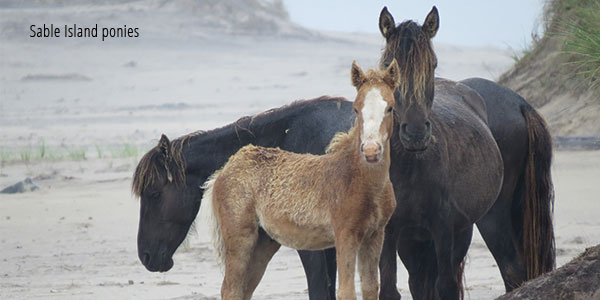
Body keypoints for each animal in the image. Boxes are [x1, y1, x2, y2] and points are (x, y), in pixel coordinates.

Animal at [204, 61, 400, 300]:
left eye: (390, 108)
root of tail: (222, 171)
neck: (361, 180)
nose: (371, 151)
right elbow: (346, 291)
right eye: (356, 108)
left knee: (244, 289)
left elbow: (371, 289)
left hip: (263, 242)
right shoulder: (345, 235)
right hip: (240, 237)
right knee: (231, 288)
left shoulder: (374, 236)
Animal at [378, 5, 556, 298]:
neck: (408, 167)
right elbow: (394, 288)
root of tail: (519, 102)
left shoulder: (443, 230)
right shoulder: (394, 233)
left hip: (491, 218)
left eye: (433, 64)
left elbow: (445, 287)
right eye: (387, 67)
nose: (415, 132)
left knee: (512, 270)